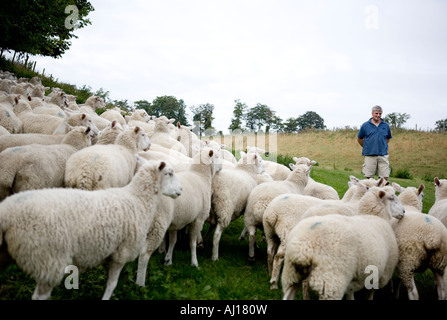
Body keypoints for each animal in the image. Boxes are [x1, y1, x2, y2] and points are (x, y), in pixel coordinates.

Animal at [0, 160, 183, 300]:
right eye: (169, 173)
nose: (181, 190)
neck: (137, 199)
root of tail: (6, 213)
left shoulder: (109, 252)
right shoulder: (121, 252)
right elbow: (112, 284)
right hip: (48, 260)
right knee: (39, 296)